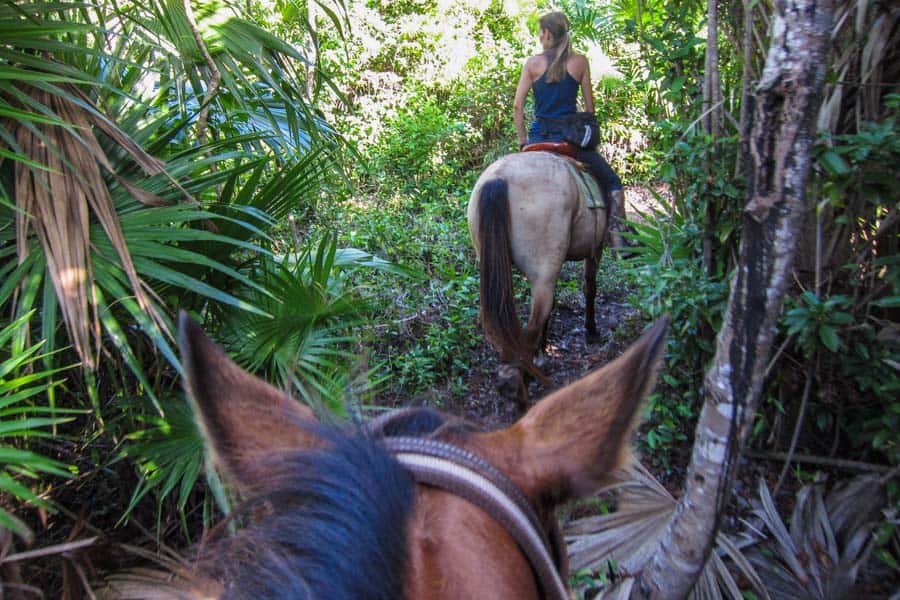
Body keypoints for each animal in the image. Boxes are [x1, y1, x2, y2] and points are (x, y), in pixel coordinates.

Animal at [468, 146, 608, 408]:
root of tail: (499, 178)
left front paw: (544, 352)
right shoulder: (595, 250)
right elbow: (590, 287)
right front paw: (591, 330)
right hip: (543, 273)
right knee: (532, 324)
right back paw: (519, 386)